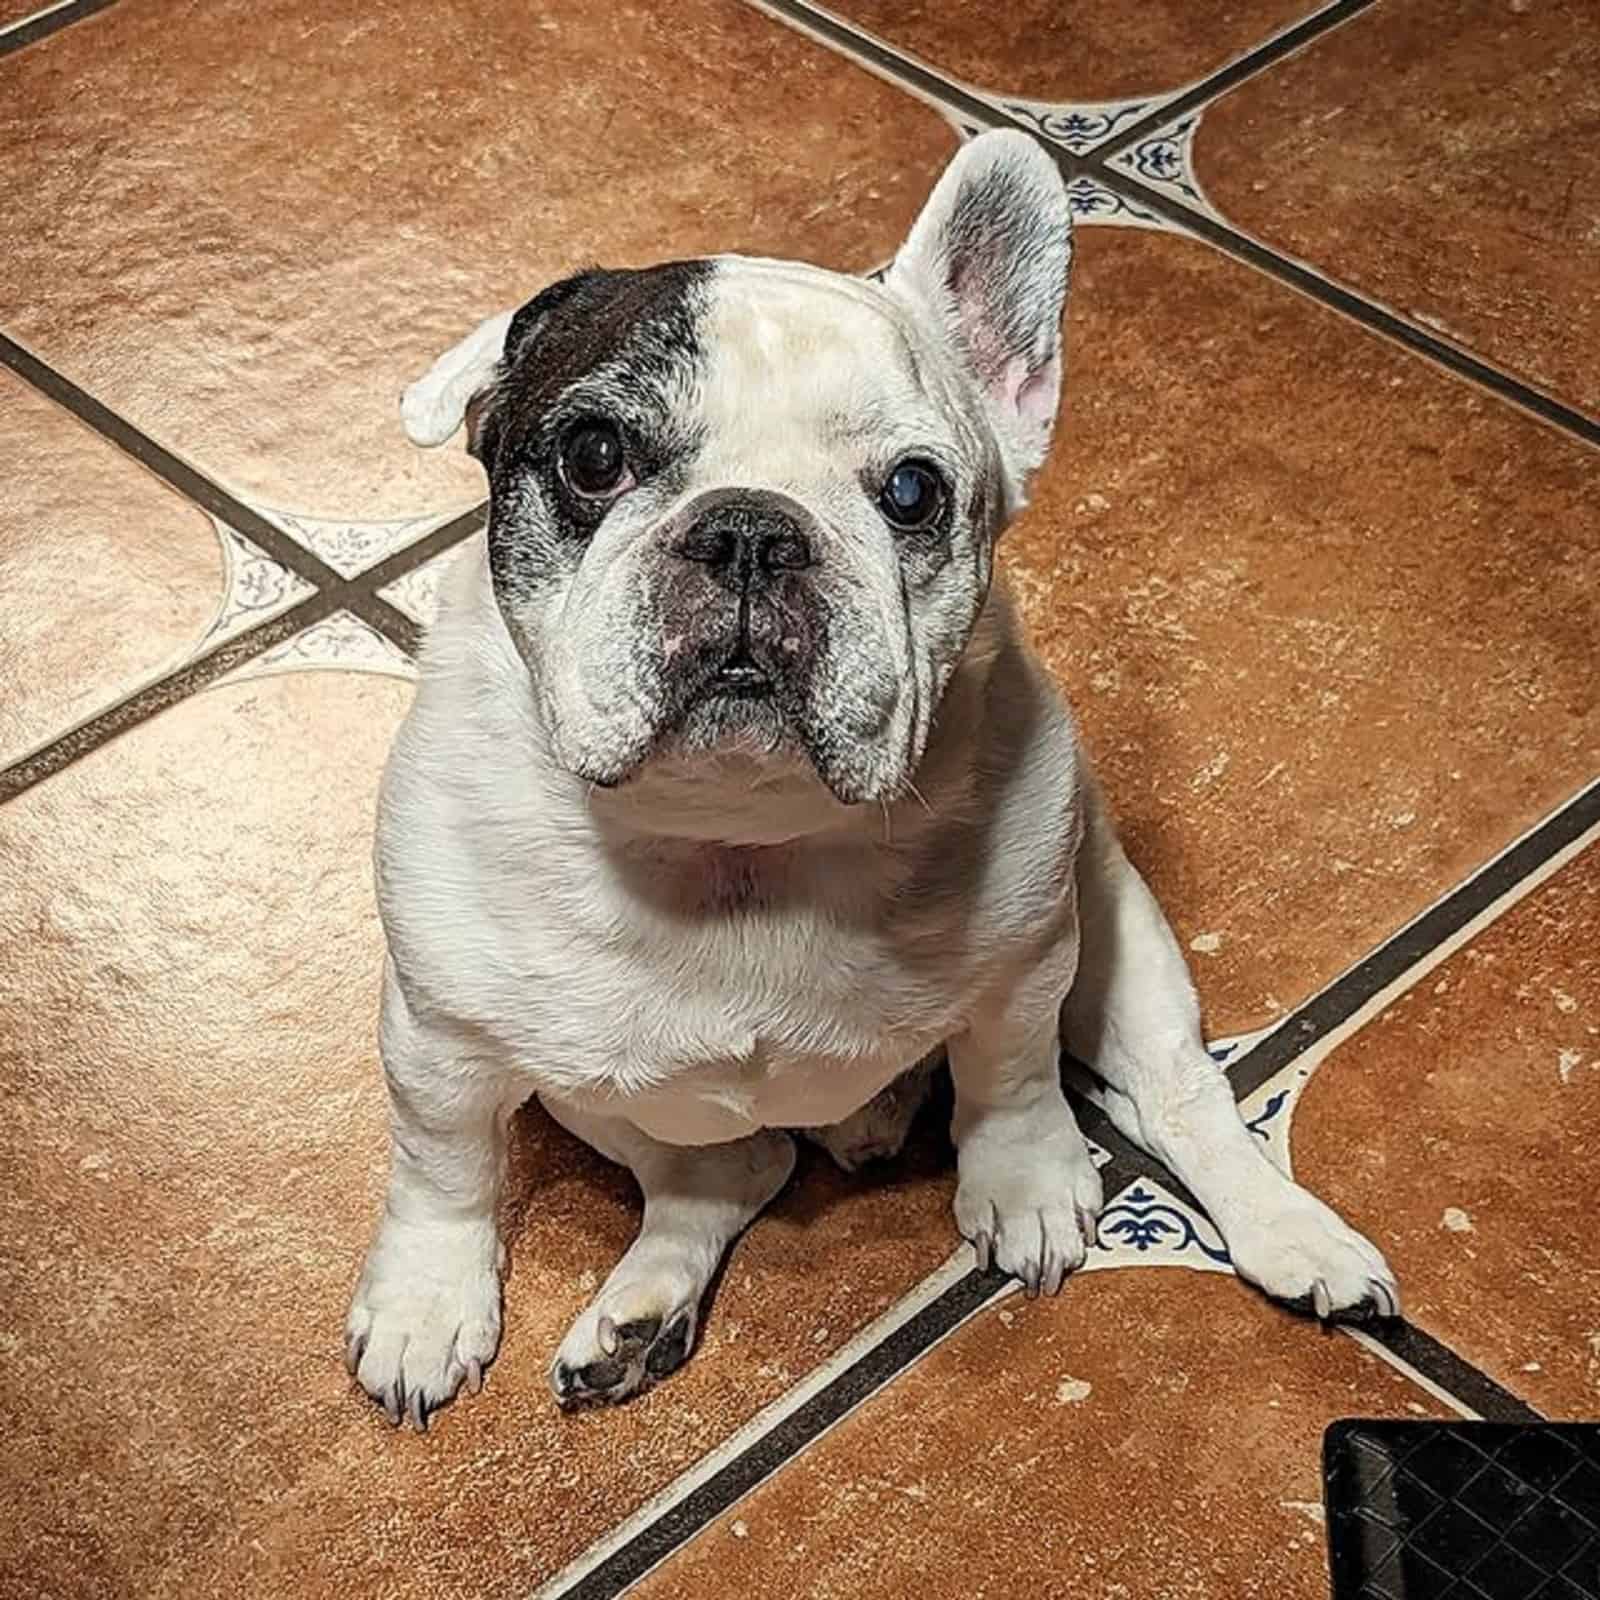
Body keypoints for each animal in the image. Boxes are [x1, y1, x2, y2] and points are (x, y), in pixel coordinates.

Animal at [344, 128, 1395, 1427]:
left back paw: (1289, 1230)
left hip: (1122, 936)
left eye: (911, 492)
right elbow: (441, 1167)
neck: (736, 836)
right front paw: (426, 1300)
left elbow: (1009, 1073)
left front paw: (1025, 1181)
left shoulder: (1028, 960)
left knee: (1179, 1093)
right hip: (581, 1091)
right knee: (727, 1167)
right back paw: (641, 1312)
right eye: (593, 456)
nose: (751, 528)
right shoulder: (439, 1039)